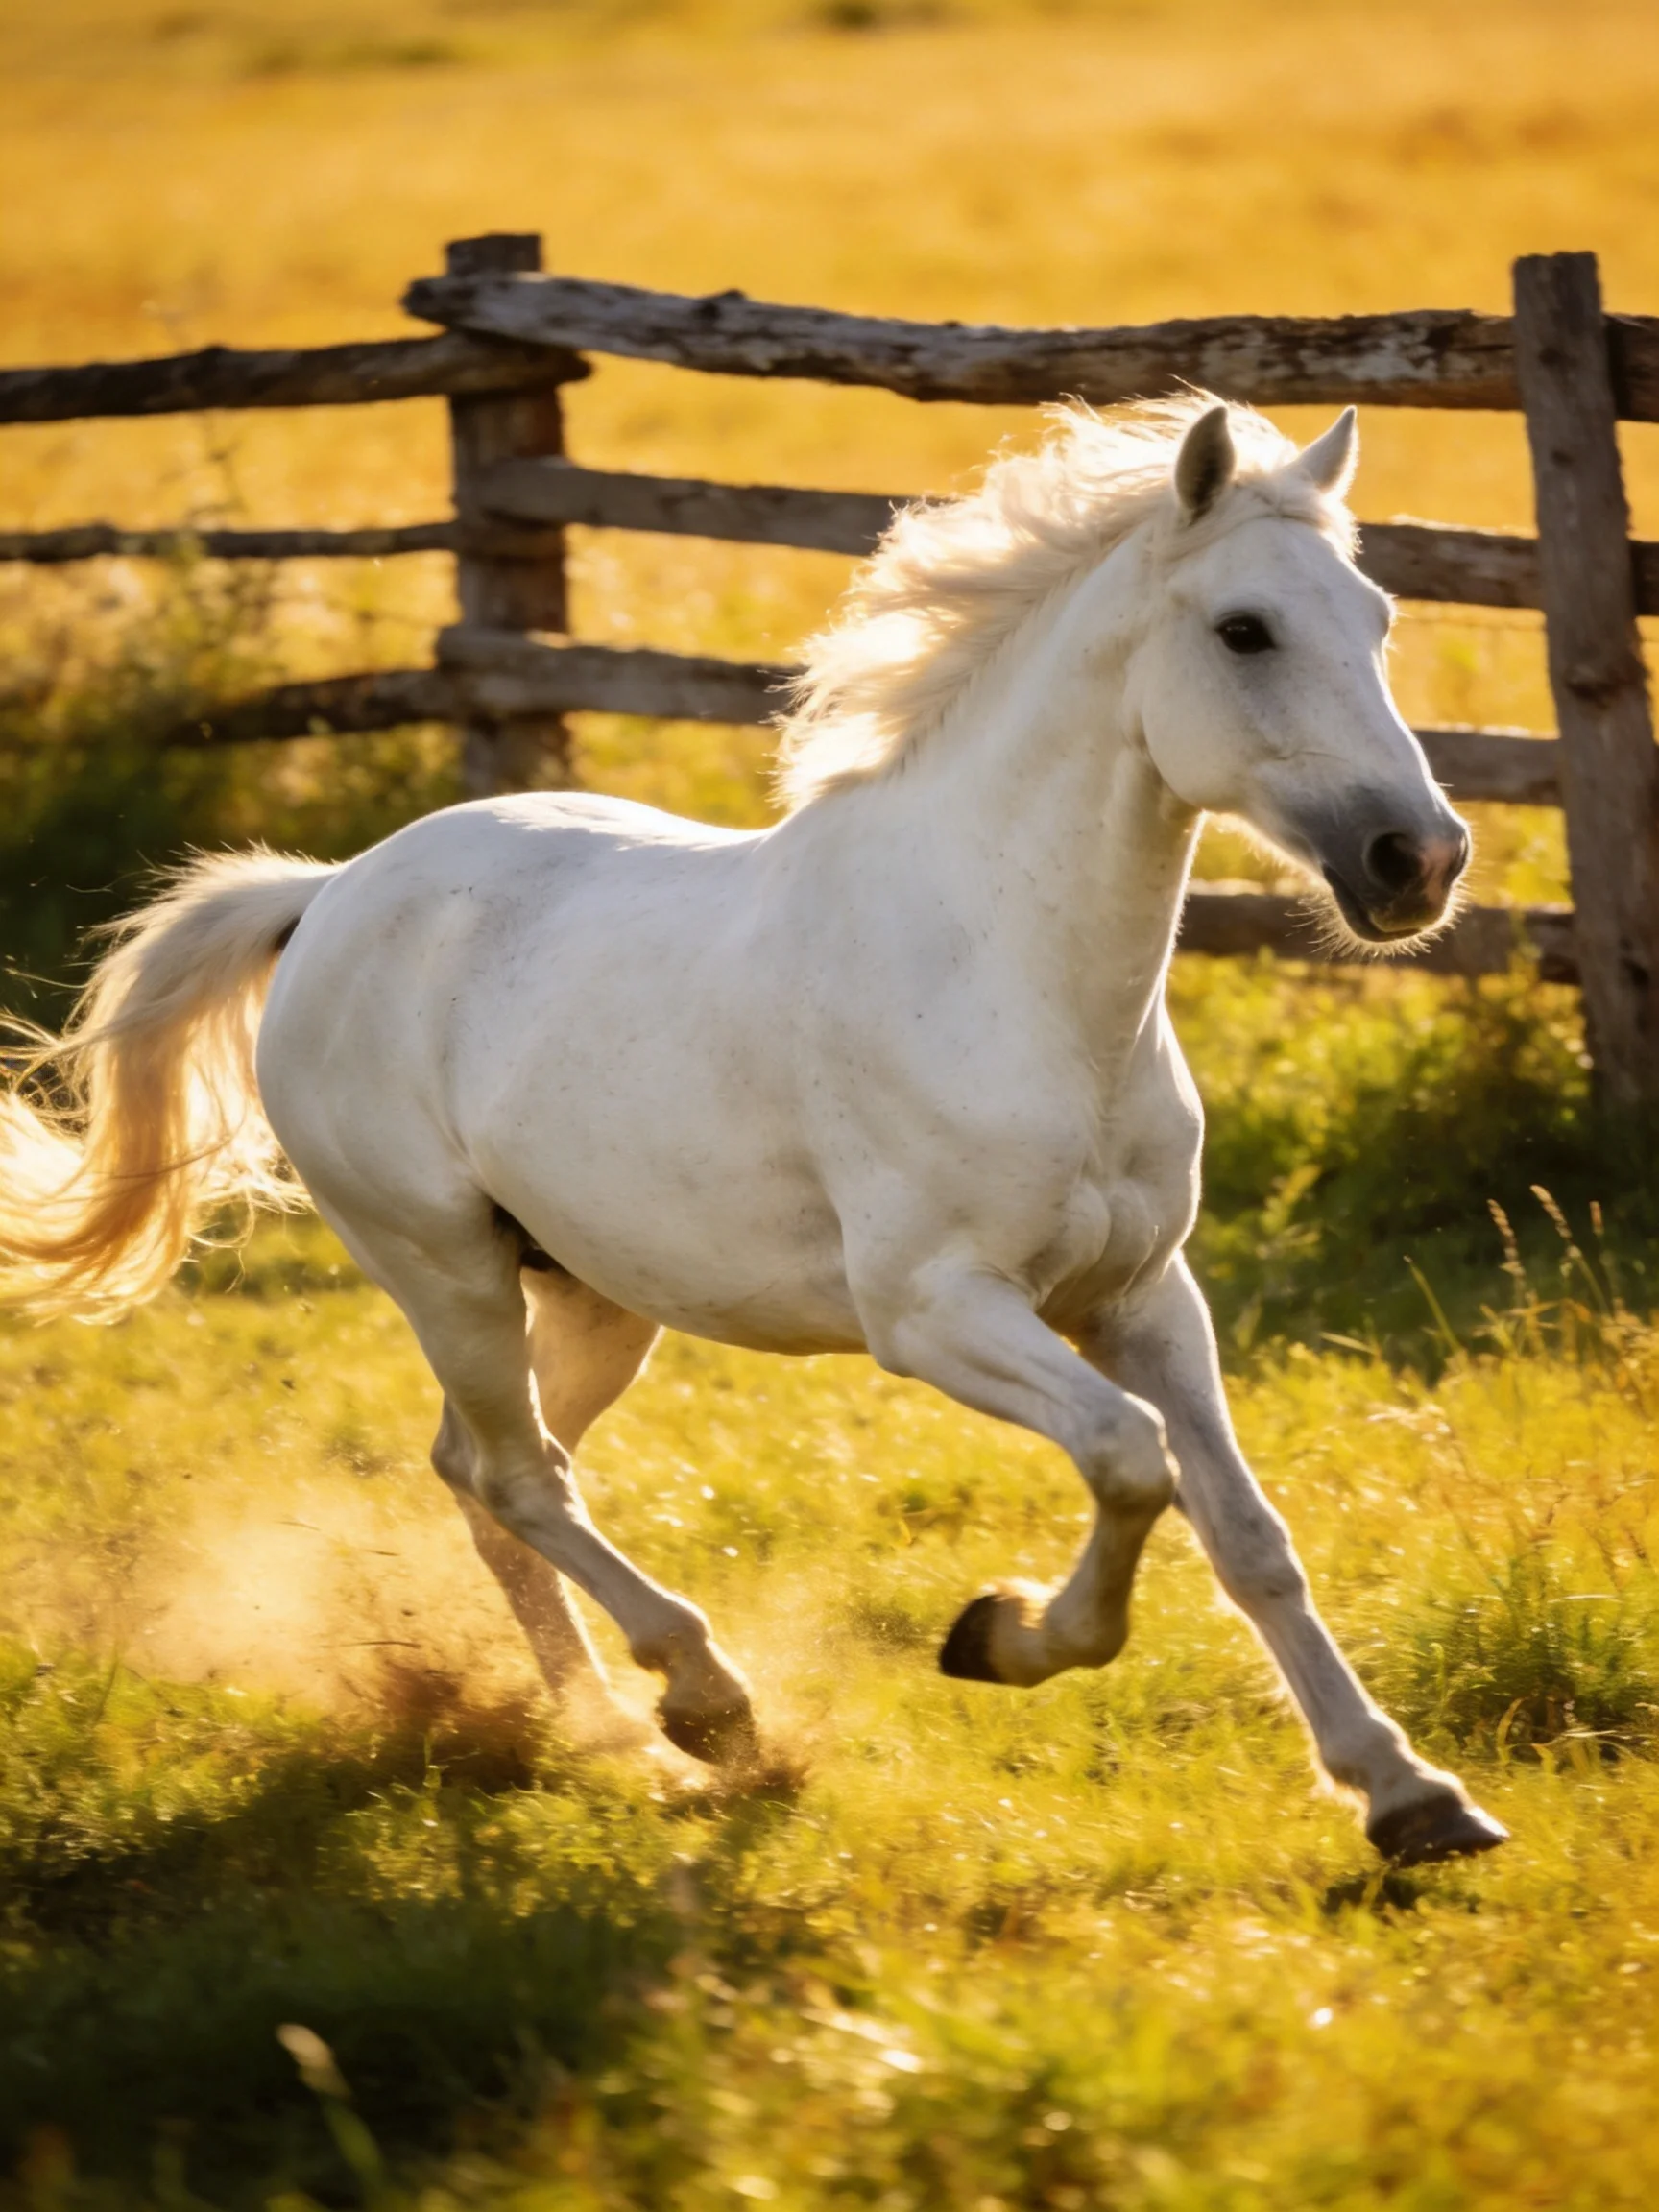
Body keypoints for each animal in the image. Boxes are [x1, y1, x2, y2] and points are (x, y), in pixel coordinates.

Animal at [0, 395, 1506, 1867]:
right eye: (1244, 628)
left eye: (1376, 618)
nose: (1418, 861)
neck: (1016, 975)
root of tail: (326, 896)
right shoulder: (934, 1312)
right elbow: (1132, 1460)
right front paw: (1001, 1637)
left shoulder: (1142, 1295)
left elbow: (1247, 1531)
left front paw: (1410, 1799)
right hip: (443, 1268)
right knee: (519, 1473)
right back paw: (704, 1707)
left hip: (595, 1294)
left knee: (483, 1472)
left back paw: (609, 1733)